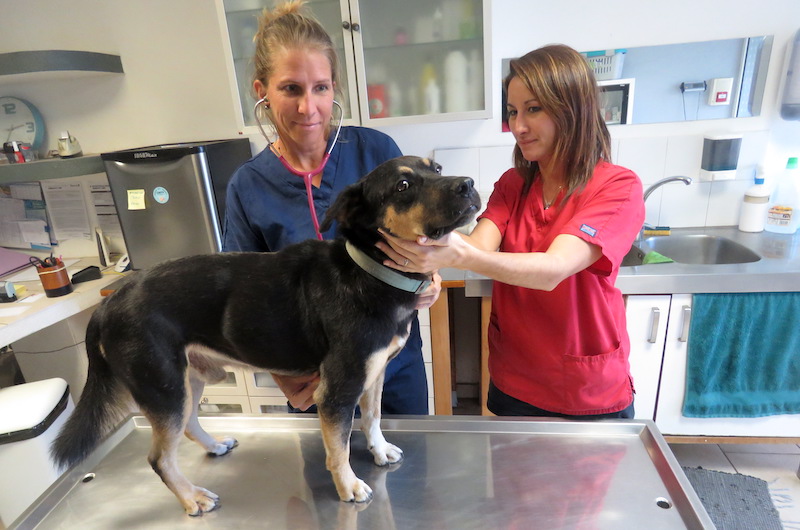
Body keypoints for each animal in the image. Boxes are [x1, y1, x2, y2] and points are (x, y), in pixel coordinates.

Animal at [53, 155, 478, 512]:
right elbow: (338, 448)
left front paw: (378, 450)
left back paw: (214, 446)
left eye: (437, 169)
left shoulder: (374, 373)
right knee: (159, 458)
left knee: (187, 425)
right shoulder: (337, 391)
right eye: (403, 186)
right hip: (162, 386)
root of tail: (109, 303)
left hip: (184, 381)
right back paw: (192, 498)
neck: (369, 271)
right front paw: (349, 487)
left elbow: (372, 418)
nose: (469, 183)